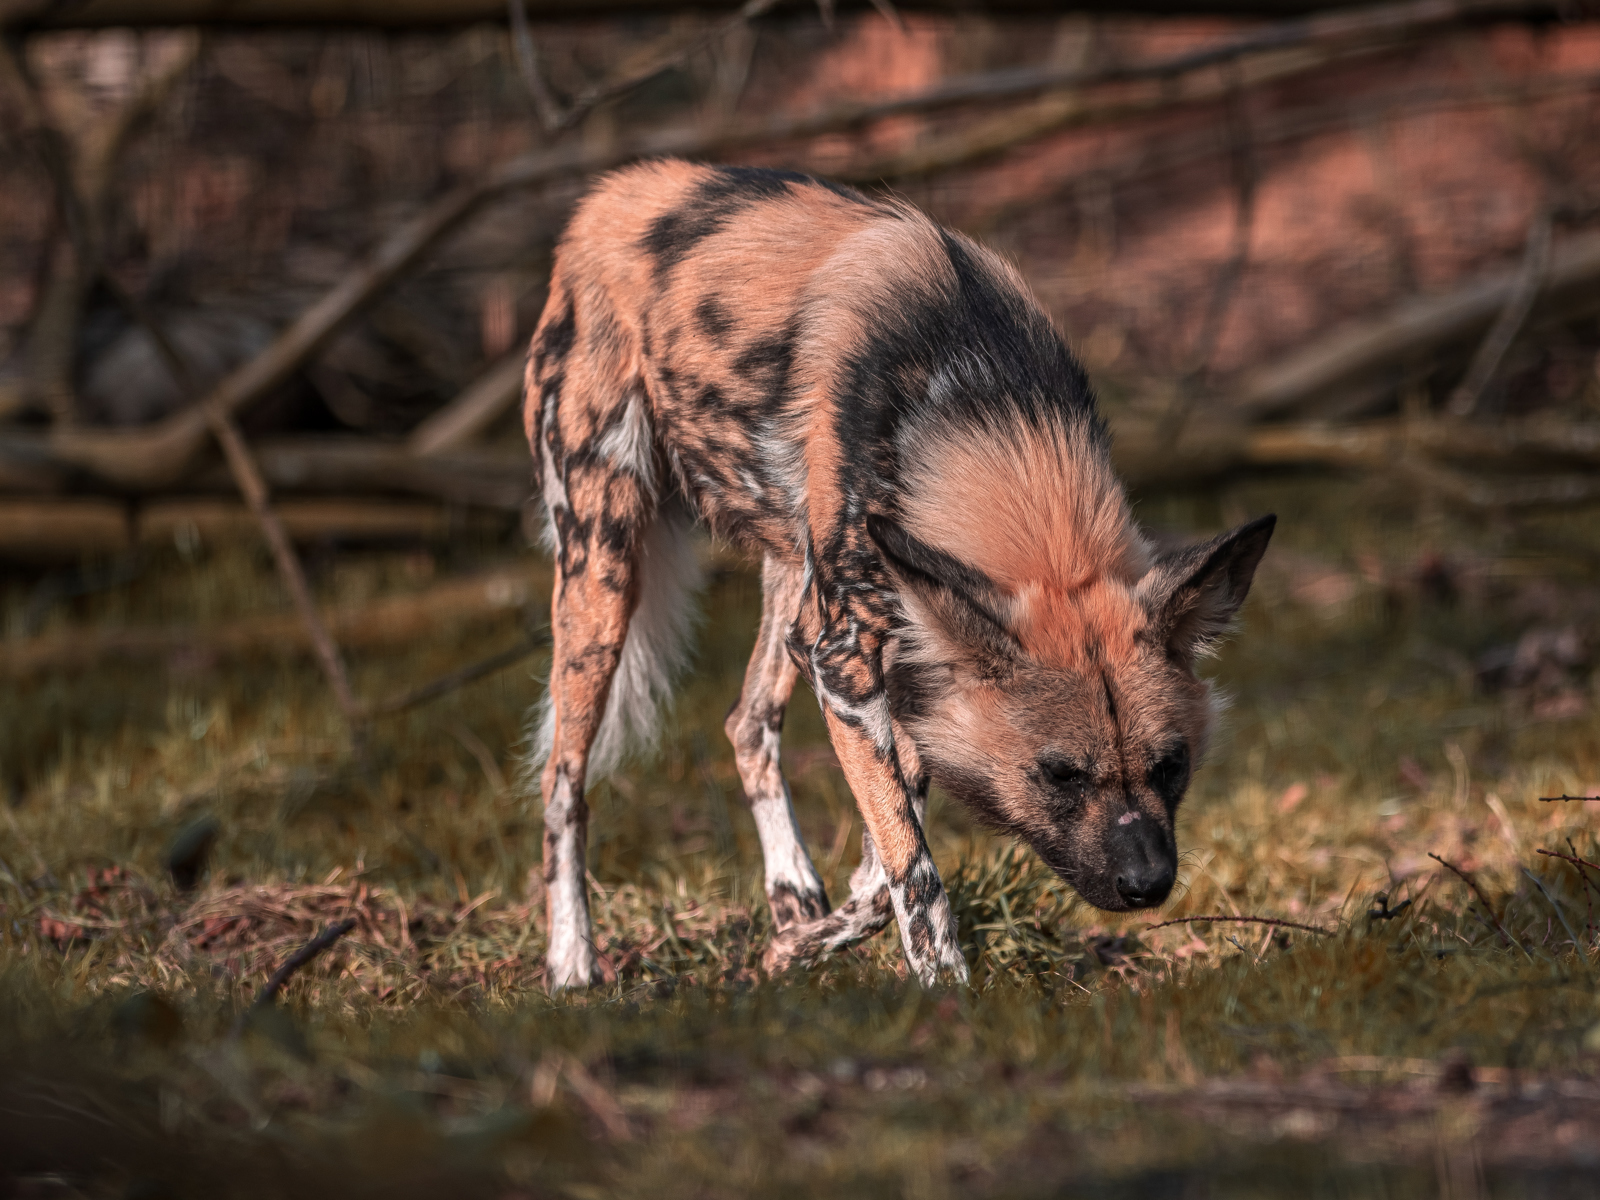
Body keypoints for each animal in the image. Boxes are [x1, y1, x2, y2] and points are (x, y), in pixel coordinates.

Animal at [524, 157, 1273, 985]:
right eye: (1059, 774)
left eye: (1172, 764)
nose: (1147, 885)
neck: (984, 414)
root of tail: (609, 195)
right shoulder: (846, 660)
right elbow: (912, 868)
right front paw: (946, 989)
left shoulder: (895, 665)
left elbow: (887, 855)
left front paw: (804, 942)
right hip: (602, 571)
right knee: (563, 785)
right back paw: (571, 963)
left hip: (791, 586)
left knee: (747, 723)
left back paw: (792, 898)